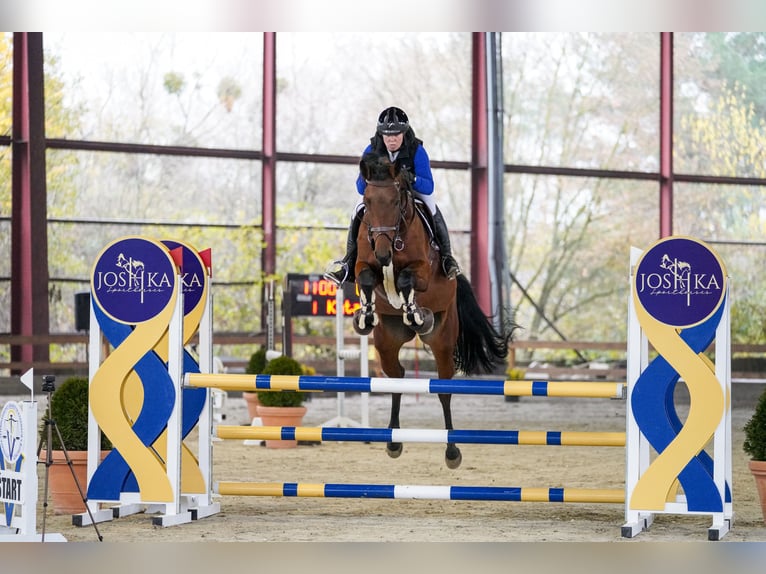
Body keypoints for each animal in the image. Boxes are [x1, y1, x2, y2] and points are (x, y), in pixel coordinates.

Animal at [352, 151, 520, 470]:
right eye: (367, 201)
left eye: (395, 201)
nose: (383, 252)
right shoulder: (364, 265)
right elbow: (366, 278)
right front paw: (365, 315)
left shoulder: (422, 271)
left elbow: (406, 280)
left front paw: (415, 311)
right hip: (387, 341)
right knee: (396, 378)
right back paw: (393, 442)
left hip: (442, 340)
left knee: (443, 389)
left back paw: (452, 451)